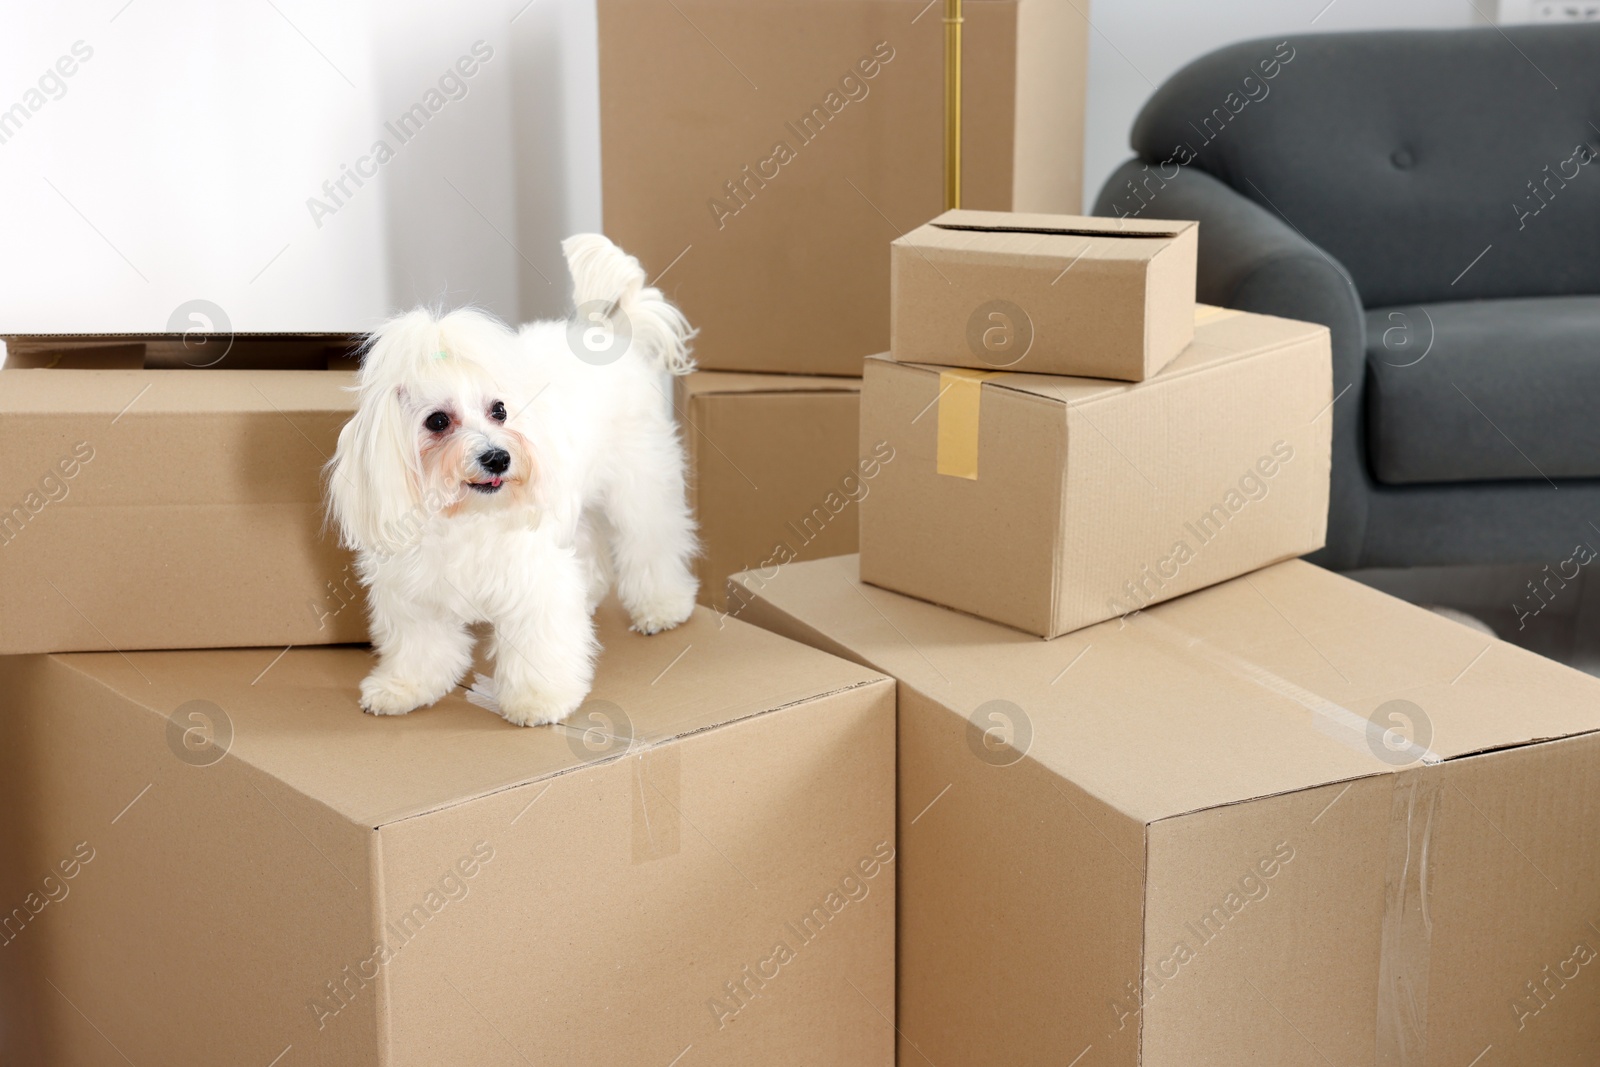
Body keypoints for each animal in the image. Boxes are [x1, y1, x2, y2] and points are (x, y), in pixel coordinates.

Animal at [328, 235, 697, 726]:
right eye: (438, 421)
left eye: (499, 410)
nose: (498, 457)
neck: (462, 515)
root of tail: (609, 334)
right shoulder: (412, 592)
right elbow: (420, 648)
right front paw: (403, 687)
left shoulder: (533, 576)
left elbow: (539, 642)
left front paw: (539, 699)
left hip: (640, 485)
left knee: (653, 543)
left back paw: (662, 606)